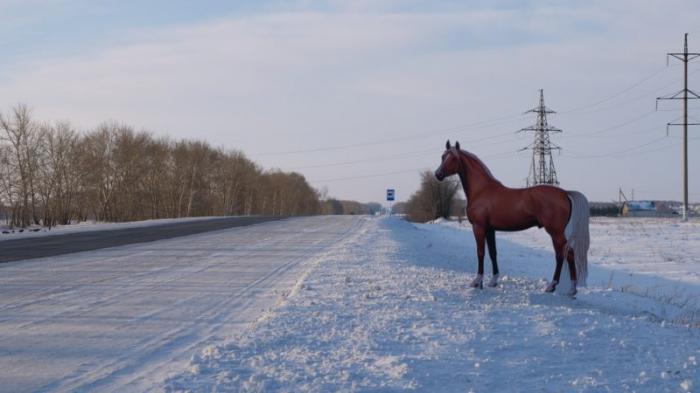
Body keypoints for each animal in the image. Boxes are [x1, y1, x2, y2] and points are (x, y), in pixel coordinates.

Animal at [432, 139, 592, 296]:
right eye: (443, 156)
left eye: (454, 158)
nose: (438, 174)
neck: (481, 190)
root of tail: (565, 193)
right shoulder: (490, 229)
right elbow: (493, 253)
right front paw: (493, 281)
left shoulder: (479, 227)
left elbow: (480, 253)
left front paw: (477, 281)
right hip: (556, 233)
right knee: (560, 255)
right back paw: (553, 287)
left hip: (556, 232)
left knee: (568, 253)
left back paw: (569, 289)